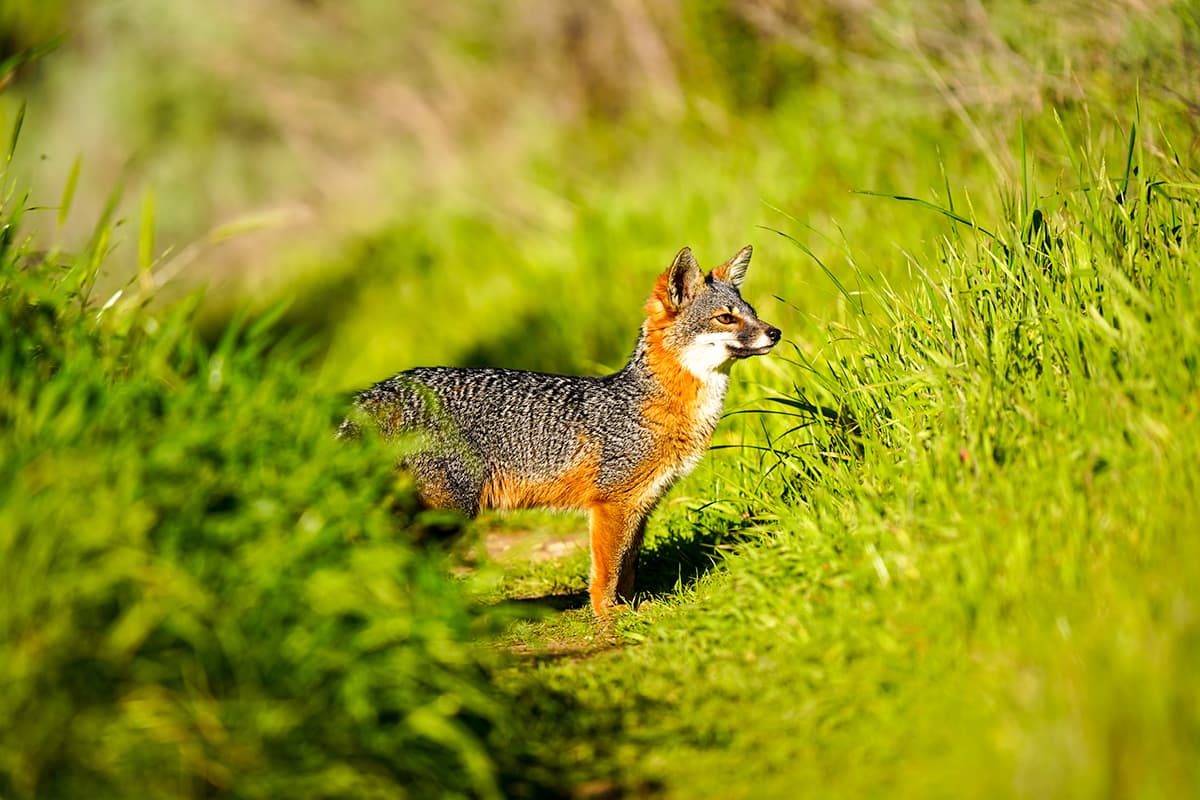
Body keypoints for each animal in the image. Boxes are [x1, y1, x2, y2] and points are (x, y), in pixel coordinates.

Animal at [340, 245, 781, 616]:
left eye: (752, 312)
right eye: (726, 318)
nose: (774, 332)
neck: (651, 402)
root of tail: (384, 387)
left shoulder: (642, 504)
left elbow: (628, 568)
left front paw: (632, 607)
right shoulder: (612, 504)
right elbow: (607, 571)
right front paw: (609, 616)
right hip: (448, 515)